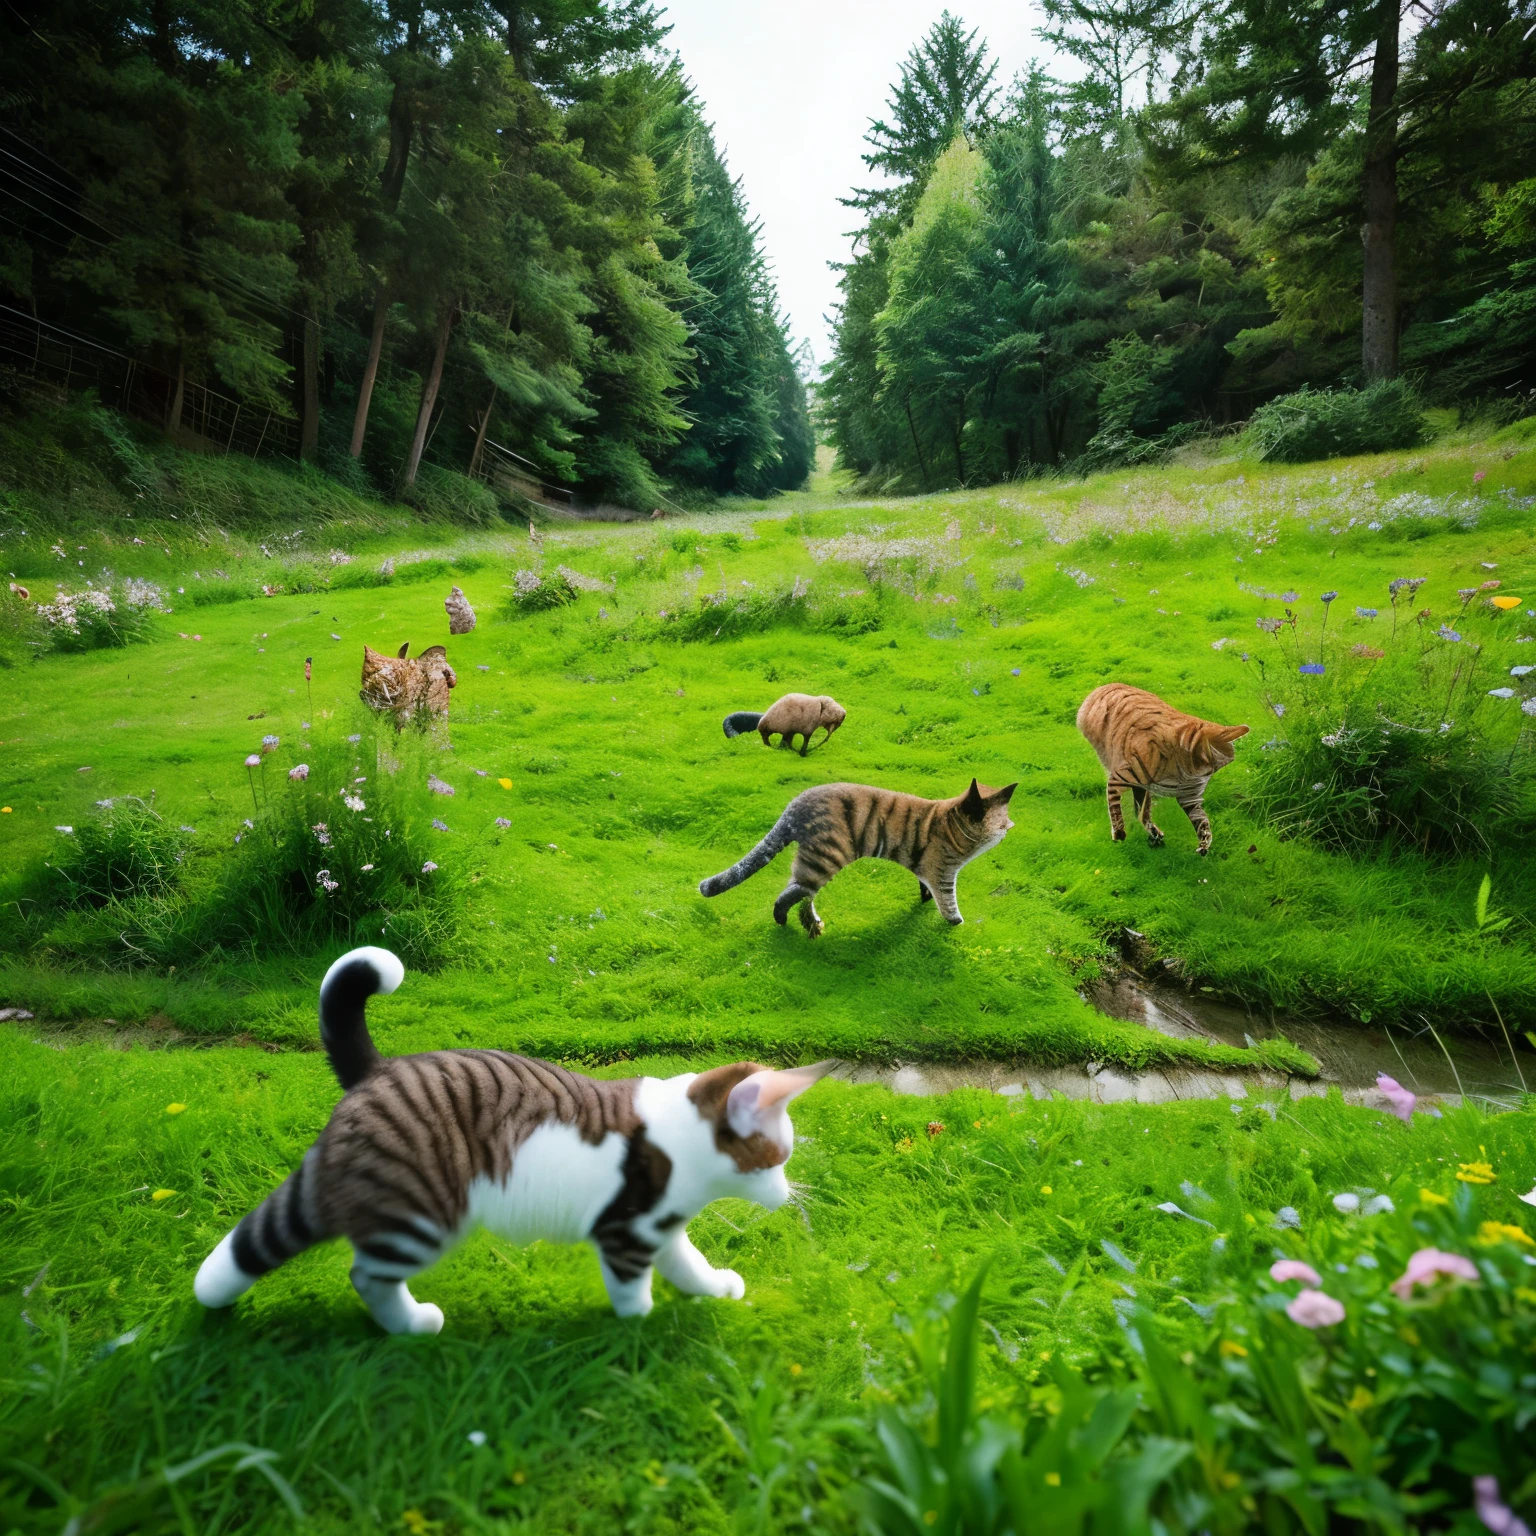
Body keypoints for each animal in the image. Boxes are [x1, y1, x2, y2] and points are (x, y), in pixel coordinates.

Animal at [199, 946, 841, 1333]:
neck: (680, 1142)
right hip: (419, 1215)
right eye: (775, 1160)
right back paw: (411, 1323)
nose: (787, 1195)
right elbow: (633, 1289)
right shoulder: (627, 1232)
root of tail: (378, 1070)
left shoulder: (658, 1229)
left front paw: (711, 1288)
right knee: (361, 1272)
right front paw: (638, 1324)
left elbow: (688, 1263)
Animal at [1081, 688, 1247, 860]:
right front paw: (1119, 833)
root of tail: (1102, 687)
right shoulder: (1120, 778)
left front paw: (1203, 844)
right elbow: (1115, 806)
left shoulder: (1190, 797)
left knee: (1141, 810)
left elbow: (1202, 821)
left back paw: (1155, 834)